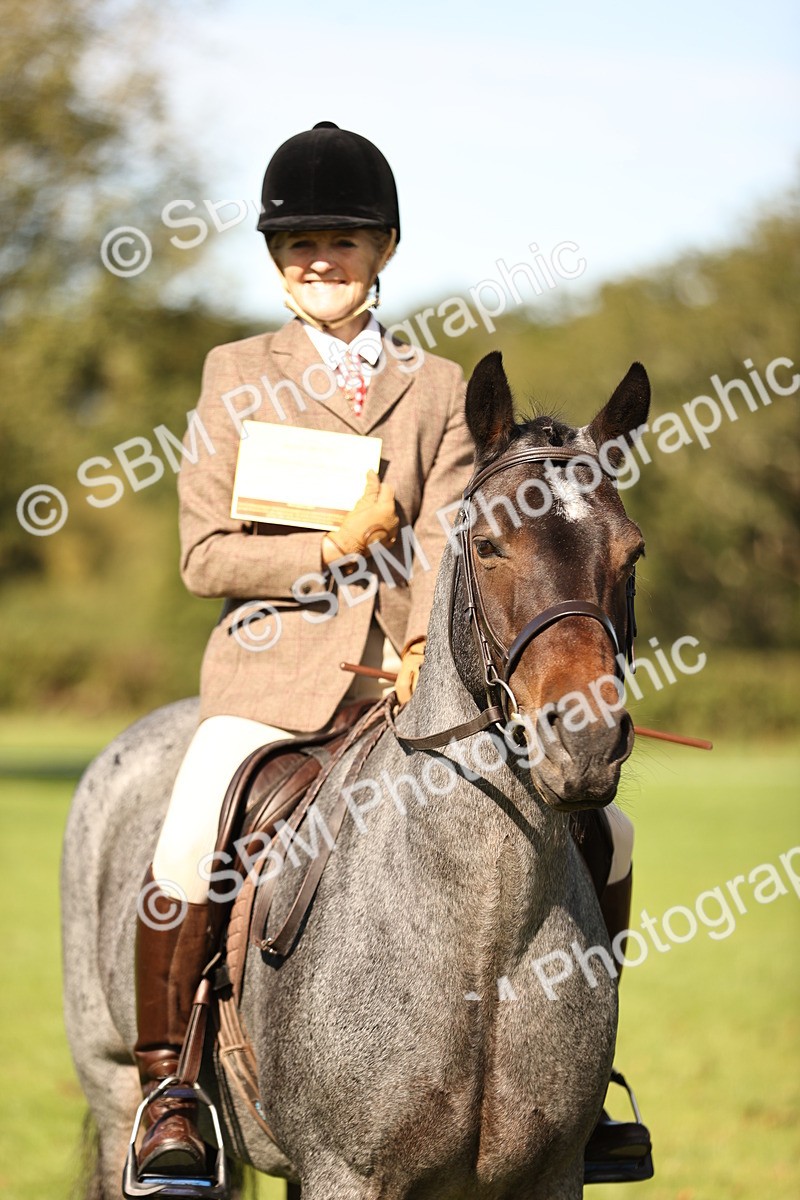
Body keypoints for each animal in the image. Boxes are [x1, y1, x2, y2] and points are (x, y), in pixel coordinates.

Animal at [61, 350, 650, 1199]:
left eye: (632, 552)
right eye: (488, 546)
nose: (585, 739)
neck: (485, 933)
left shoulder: (550, 1173)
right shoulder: (348, 1172)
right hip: (114, 1092)